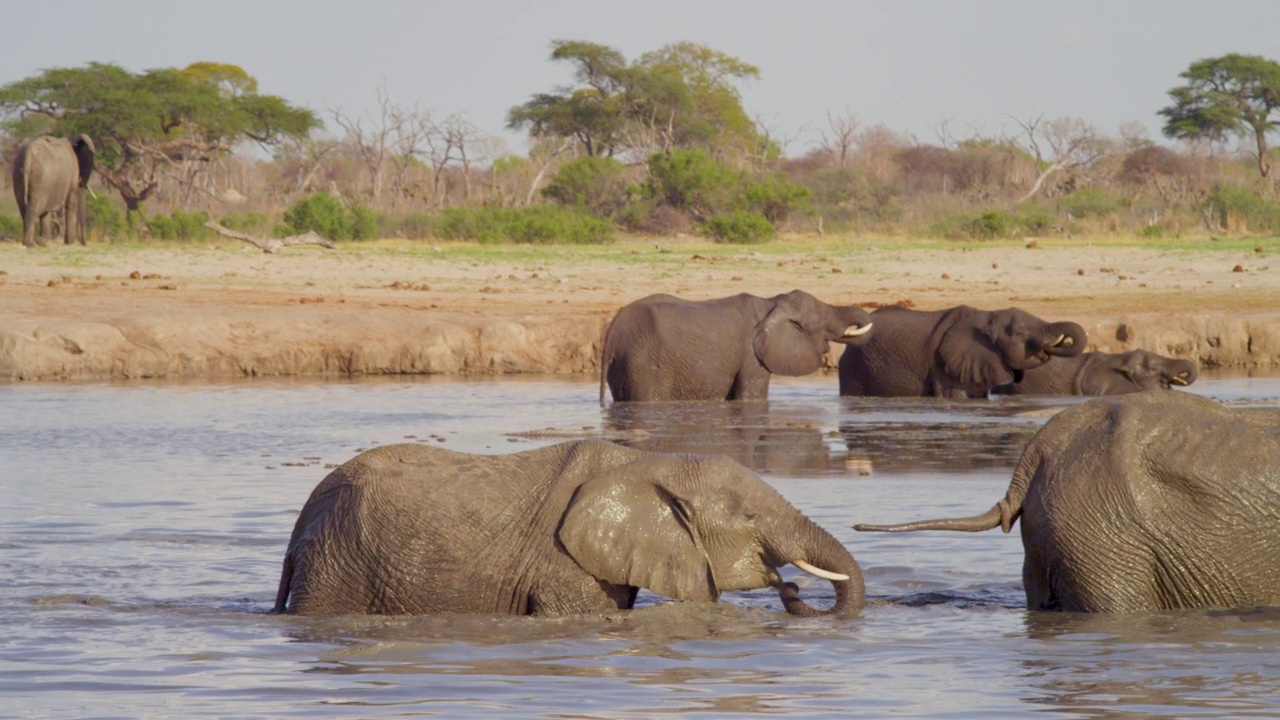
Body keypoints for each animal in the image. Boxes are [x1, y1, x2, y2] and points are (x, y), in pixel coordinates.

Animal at [599, 292, 870, 404]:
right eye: (823, 320)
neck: (771, 303)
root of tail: (612, 334)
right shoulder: (753, 358)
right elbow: (751, 396)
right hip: (646, 364)